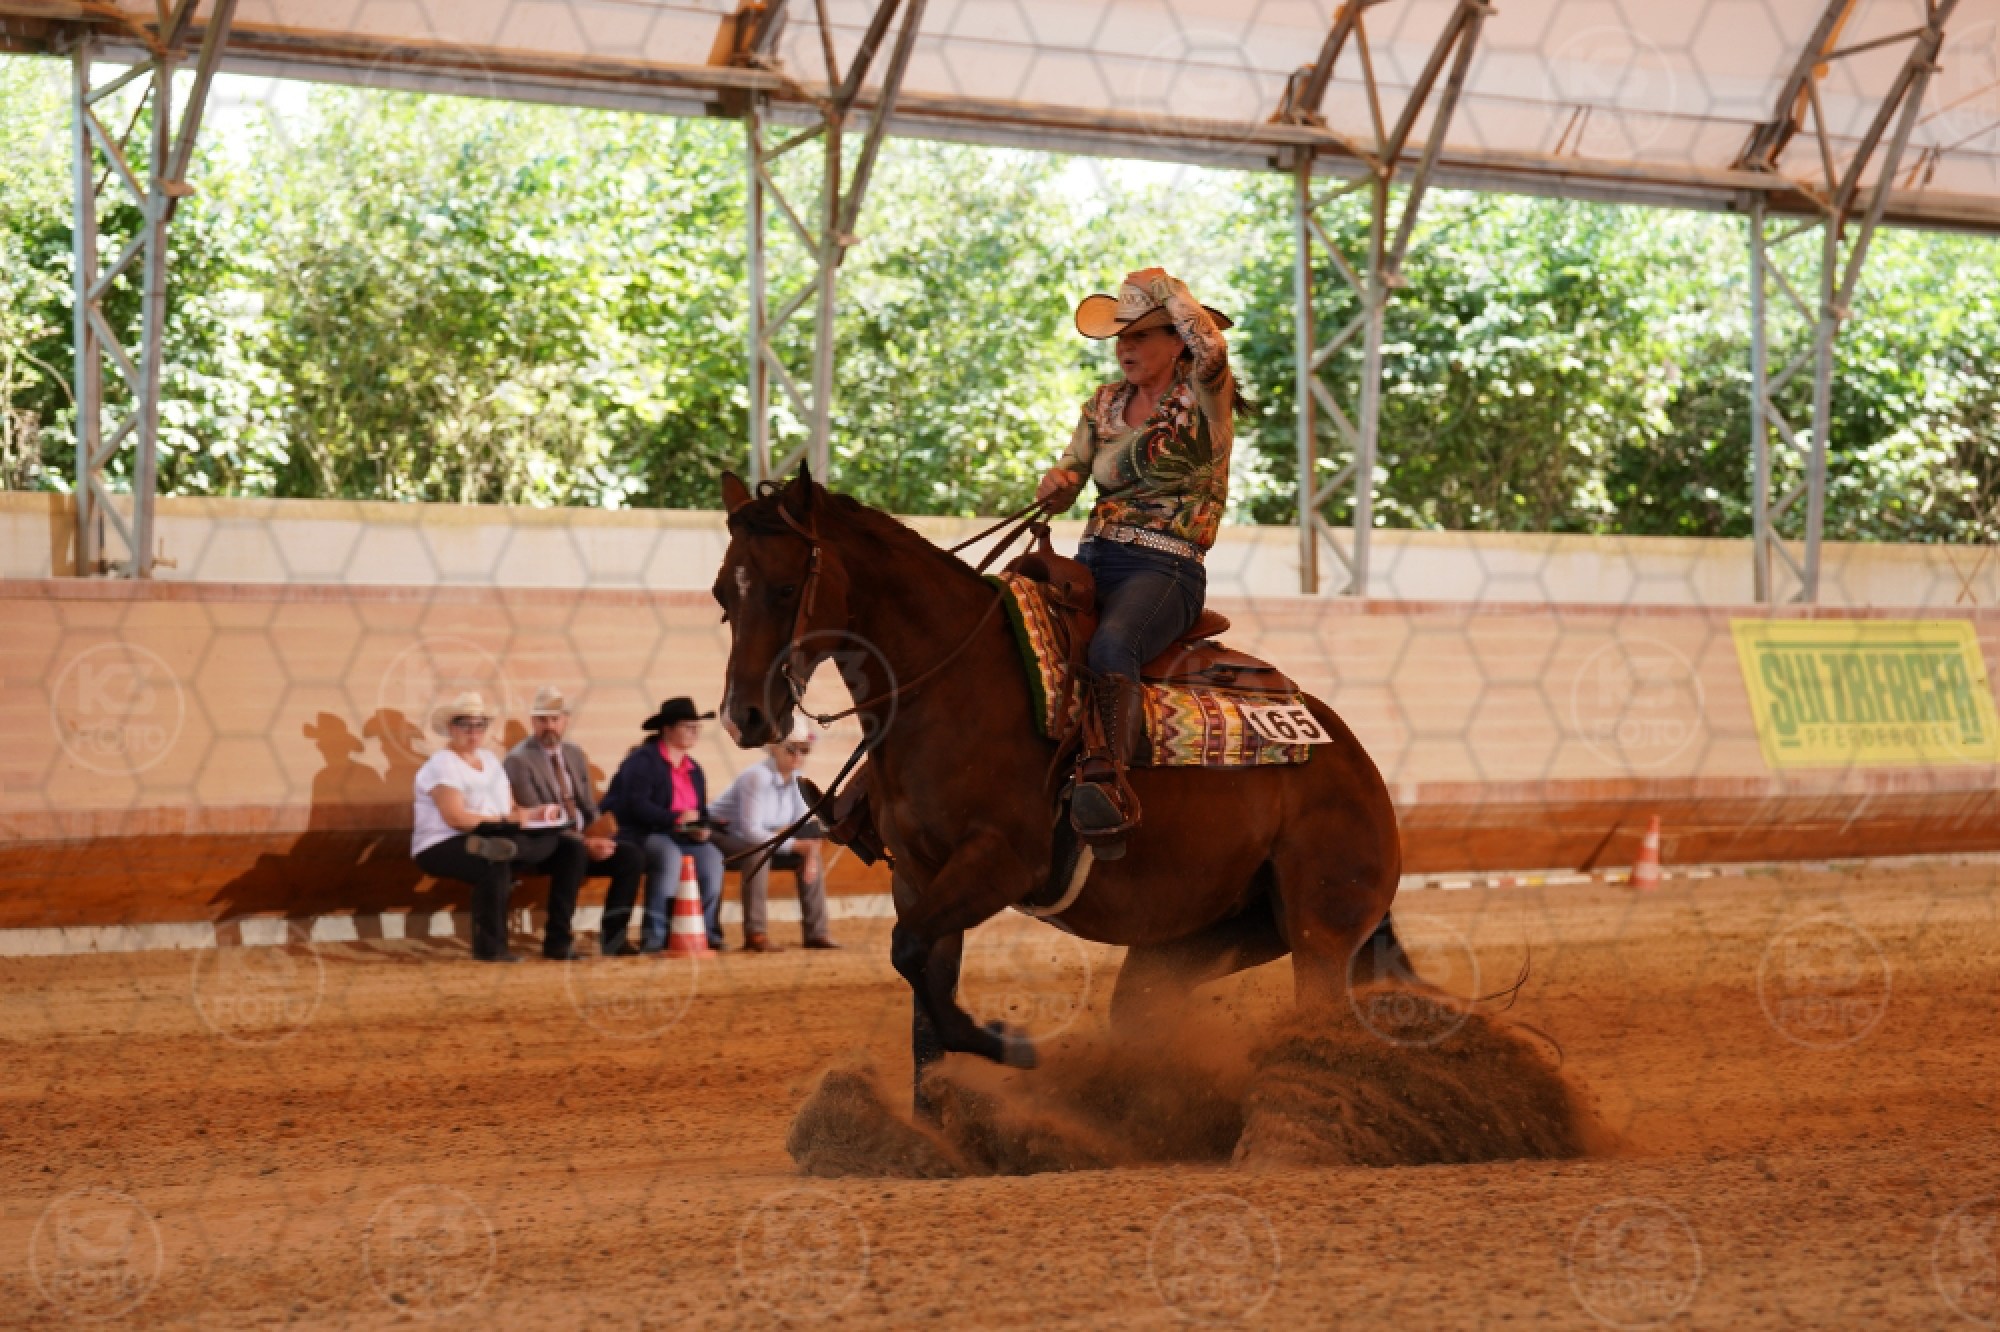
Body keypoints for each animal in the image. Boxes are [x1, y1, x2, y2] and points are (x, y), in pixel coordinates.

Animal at [712, 468, 1405, 1084]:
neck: (950, 683)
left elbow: (909, 955)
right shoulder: (919, 877)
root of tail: (1357, 766)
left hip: (1321, 932)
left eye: (784, 588)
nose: (743, 716)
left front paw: (1006, 1045)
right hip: (1197, 942)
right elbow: (922, 1010)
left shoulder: (1000, 862)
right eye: (723, 595)